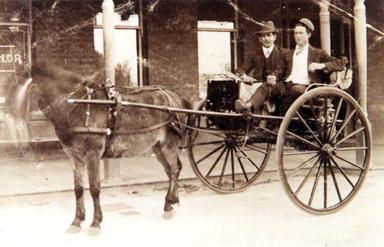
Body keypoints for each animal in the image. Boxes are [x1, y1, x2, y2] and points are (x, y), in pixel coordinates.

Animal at [5, 64, 191, 234]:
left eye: (16, 87)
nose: (8, 120)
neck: (77, 105)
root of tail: (174, 96)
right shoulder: (74, 157)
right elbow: (78, 189)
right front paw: (77, 221)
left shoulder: (92, 155)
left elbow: (94, 188)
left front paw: (95, 223)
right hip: (157, 146)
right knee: (172, 170)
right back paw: (173, 202)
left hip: (168, 144)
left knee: (173, 170)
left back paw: (169, 204)